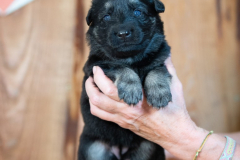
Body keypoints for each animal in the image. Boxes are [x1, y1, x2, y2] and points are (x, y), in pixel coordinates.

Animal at [79, 0, 172, 159]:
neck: (131, 58)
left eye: (138, 12)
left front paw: (159, 93)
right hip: (94, 149)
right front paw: (131, 88)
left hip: (147, 148)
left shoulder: (160, 59)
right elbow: (120, 67)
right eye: (106, 17)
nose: (123, 34)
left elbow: (157, 70)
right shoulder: (96, 66)